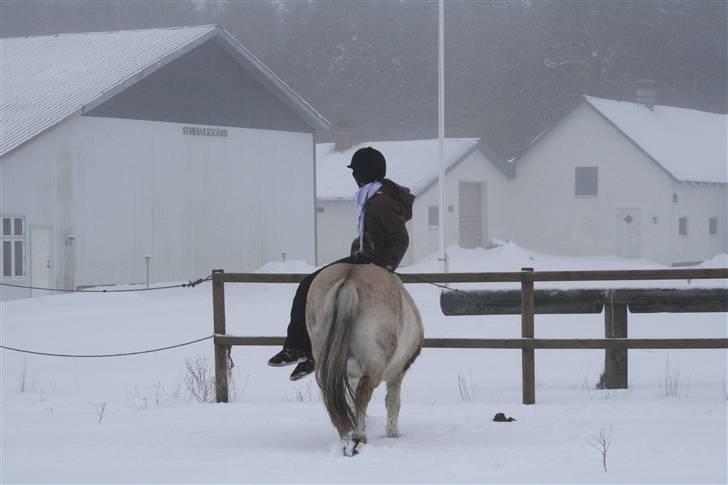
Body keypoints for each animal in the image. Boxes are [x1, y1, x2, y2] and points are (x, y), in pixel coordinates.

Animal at [304, 260, 424, 454]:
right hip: (374, 365)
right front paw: (392, 432)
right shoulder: (398, 373)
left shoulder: (350, 374)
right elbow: (393, 401)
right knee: (363, 394)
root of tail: (350, 278)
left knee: (333, 396)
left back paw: (347, 435)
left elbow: (351, 400)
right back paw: (358, 437)